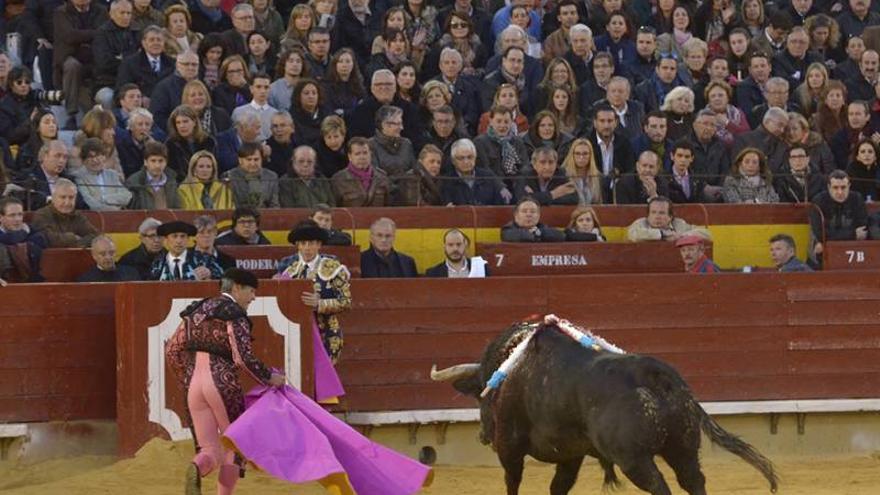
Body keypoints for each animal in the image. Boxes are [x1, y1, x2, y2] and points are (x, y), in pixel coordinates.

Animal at [430, 324, 780, 494]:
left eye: (481, 395)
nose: (483, 437)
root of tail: (652, 372)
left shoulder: (510, 447)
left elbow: (512, 483)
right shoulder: (570, 455)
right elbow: (557, 488)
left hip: (633, 458)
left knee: (660, 486)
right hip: (683, 447)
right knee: (693, 482)